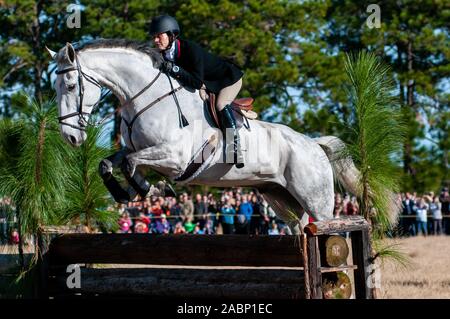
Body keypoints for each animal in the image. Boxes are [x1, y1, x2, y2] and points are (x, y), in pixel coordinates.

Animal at [47, 40, 368, 235]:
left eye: (72, 85)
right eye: (56, 87)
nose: (70, 137)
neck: (144, 97)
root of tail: (313, 144)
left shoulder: (174, 158)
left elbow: (131, 164)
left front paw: (151, 190)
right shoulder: (134, 148)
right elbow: (109, 163)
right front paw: (128, 193)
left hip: (318, 202)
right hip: (281, 199)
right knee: (298, 228)